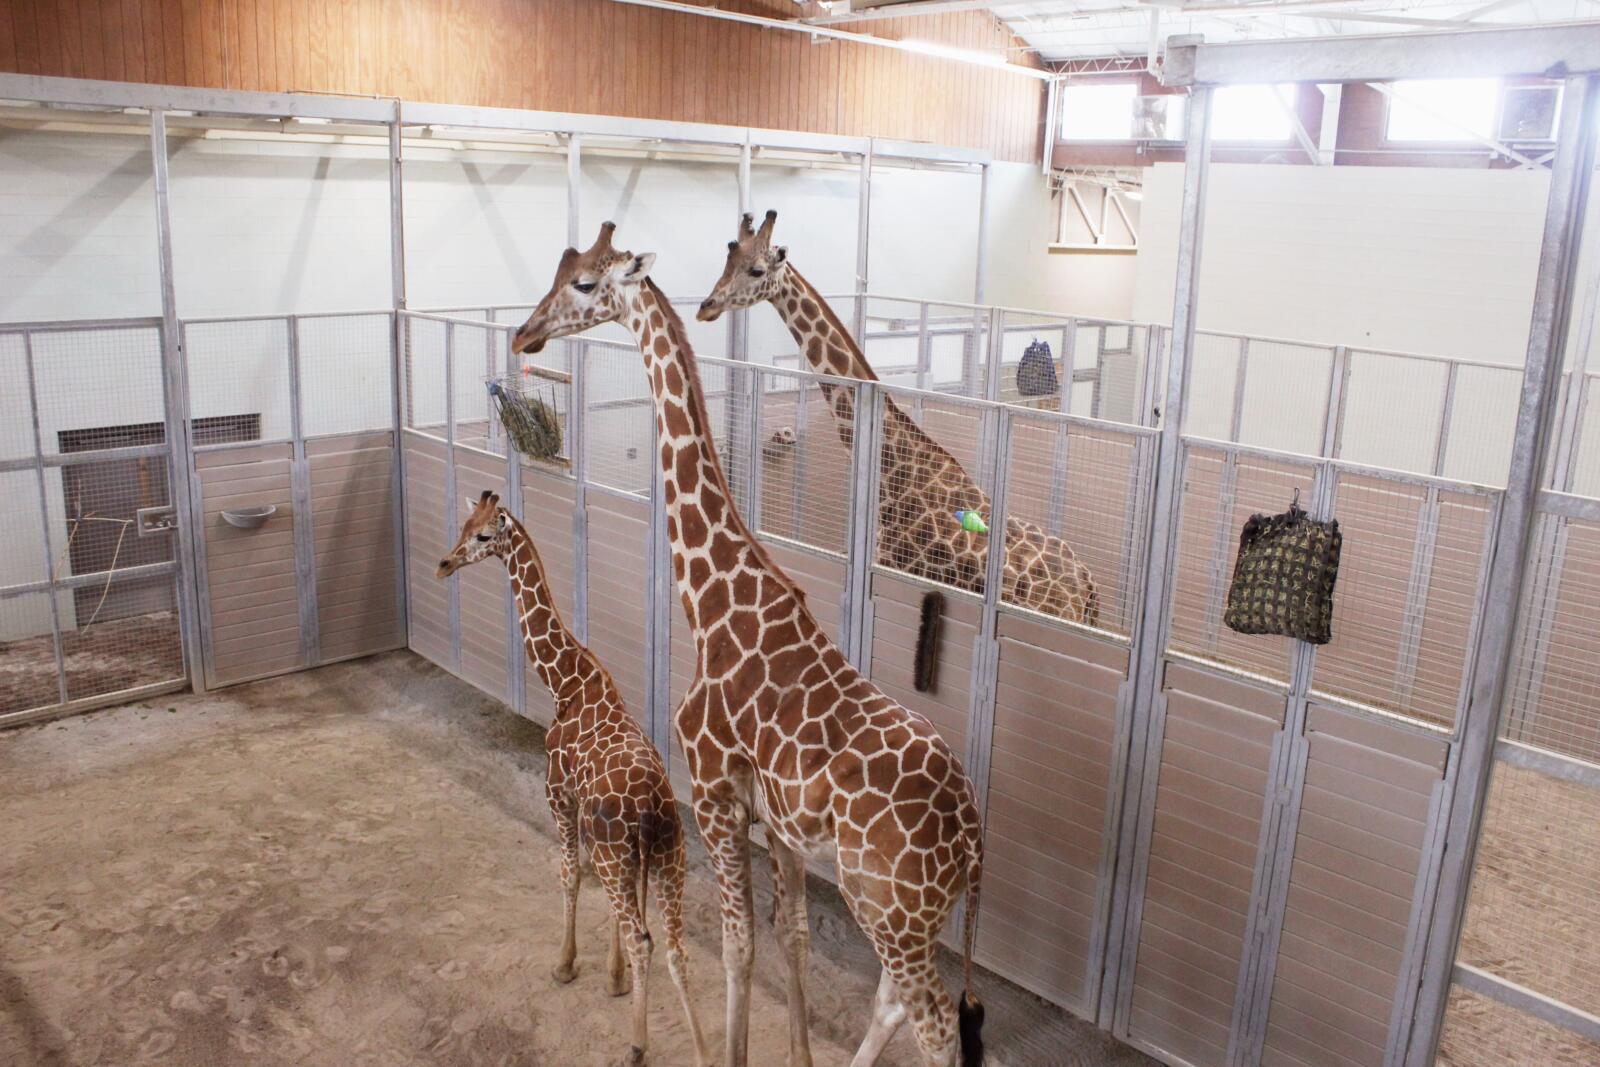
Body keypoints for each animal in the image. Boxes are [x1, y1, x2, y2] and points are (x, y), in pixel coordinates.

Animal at [436, 490, 711, 1067]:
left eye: (483, 535)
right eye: (464, 524)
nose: (443, 564)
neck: (566, 682)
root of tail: (652, 807)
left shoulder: (558, 797)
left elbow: (567, 875)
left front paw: (565, 965)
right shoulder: (615, 841)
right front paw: (613, 977)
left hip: (620, 848)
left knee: (646, 938)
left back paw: (636, 1044)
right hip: (671, 855)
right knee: (674, 944)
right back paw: (704, 1051)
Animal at [512, 222, 988, 1067]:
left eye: (586, 284)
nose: (523, 334)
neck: (714, 608)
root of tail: (973, 835)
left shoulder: (712, 793)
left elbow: (737, 946)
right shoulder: (784, 828)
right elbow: (790, 935)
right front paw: (796, 1055)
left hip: (889, 906)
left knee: (934, 1024)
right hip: (913, 914)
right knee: (898, 1003)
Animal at [698, 211, 1100, 665]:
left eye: (756, 270)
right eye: (728, 258)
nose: (706, 306)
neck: (892, 469)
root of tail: (1088, 587)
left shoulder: (890, 566)